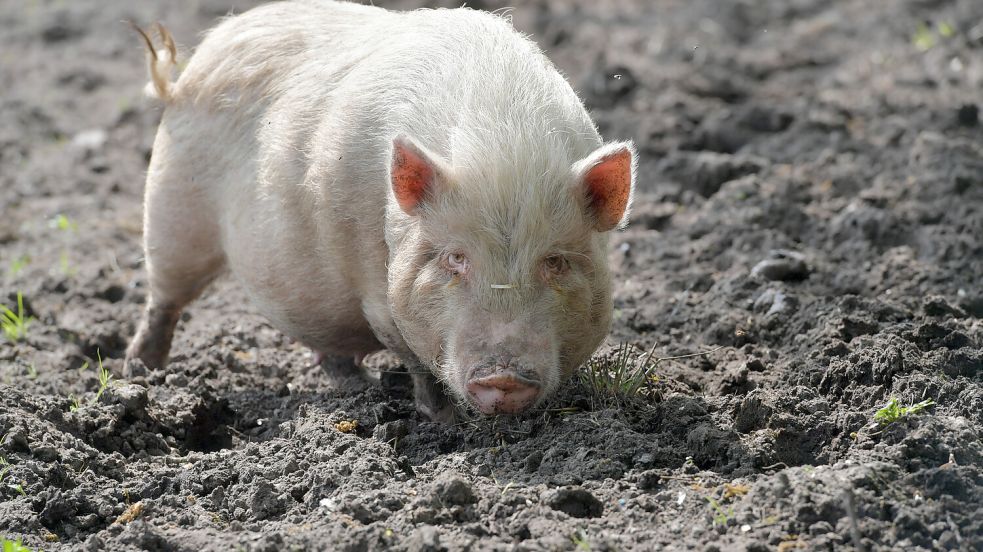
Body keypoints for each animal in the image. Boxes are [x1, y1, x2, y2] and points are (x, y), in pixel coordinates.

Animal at [126, 0, 636, 422]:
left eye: (555, 261)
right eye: (454, 258)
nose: (503, 376)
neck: (502, 147)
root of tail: (187, 73)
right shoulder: (376, 288)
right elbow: (412, 357)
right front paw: (442, 421)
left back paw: (359, 386)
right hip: (172, 208)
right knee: (164, 299)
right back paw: (140, 371)